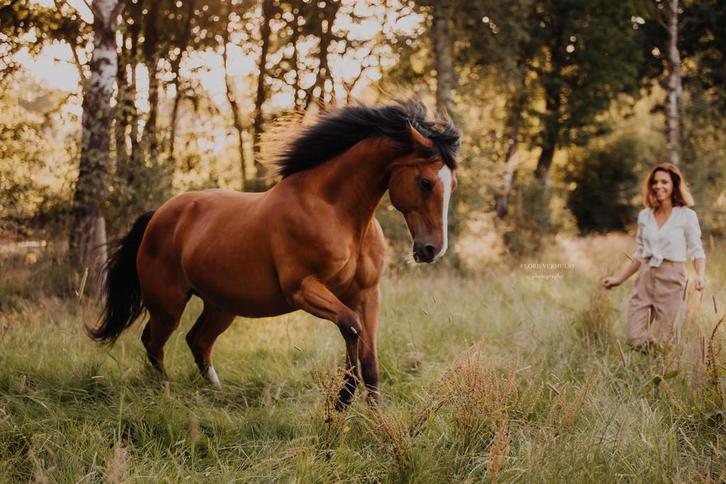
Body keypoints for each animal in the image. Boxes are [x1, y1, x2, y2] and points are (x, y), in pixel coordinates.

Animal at [88, 99, 461, 408]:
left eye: (451, 184)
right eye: (426, 182)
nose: (431, 249)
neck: (336, 212)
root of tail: (159, 215)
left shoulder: (367, 294)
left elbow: (368, 358)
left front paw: (373, 417)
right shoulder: (303, 290)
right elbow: (351, 329)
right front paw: (342, 400)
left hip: (221, 306)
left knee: (198, 341)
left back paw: (216, 392)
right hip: (168, 304)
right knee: (154, 343)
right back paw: (165, 393)